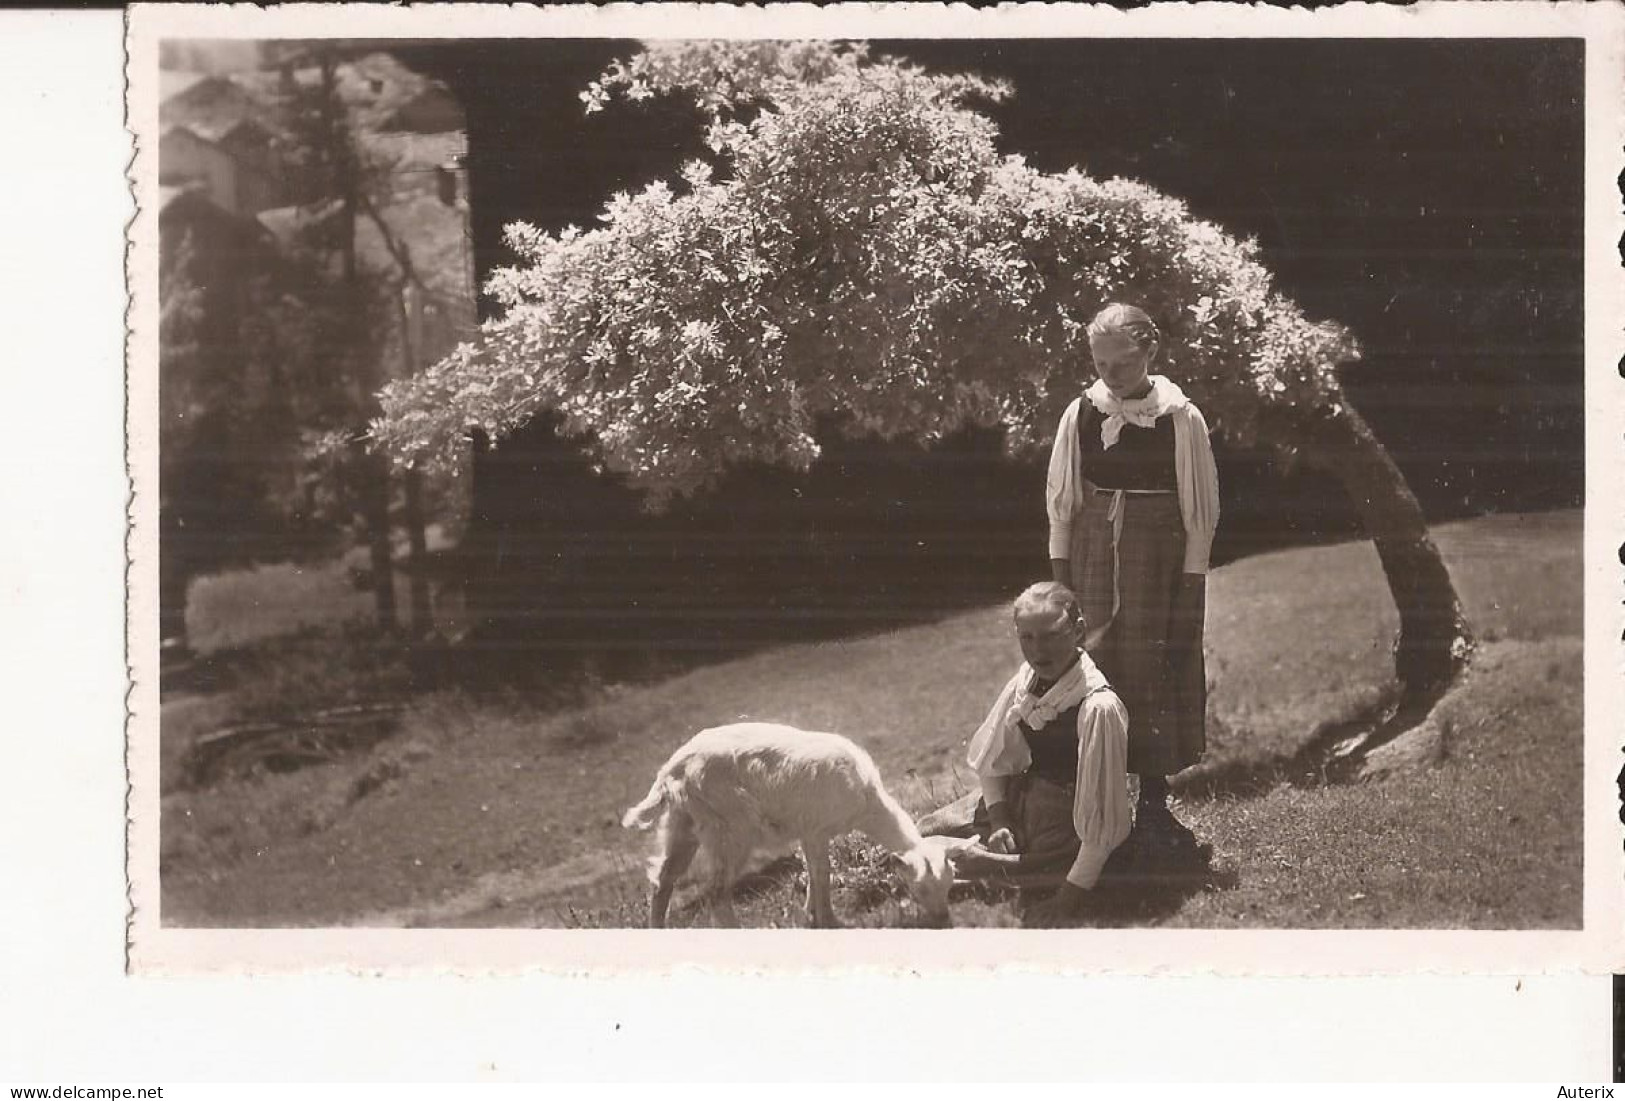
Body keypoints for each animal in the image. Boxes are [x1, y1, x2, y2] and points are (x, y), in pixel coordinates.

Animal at [617, 724, 949, 928]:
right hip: (730, 827)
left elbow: (813, 874)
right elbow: (822, 874)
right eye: (922, 887)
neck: (869, 803)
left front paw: (812, 915)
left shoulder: (808, 832)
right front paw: (830, 921)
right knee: (715, 891)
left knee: (662, 881)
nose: (944, 918)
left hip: (681, 823)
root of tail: (670, 771)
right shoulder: (817, 829)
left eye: (948, 883)